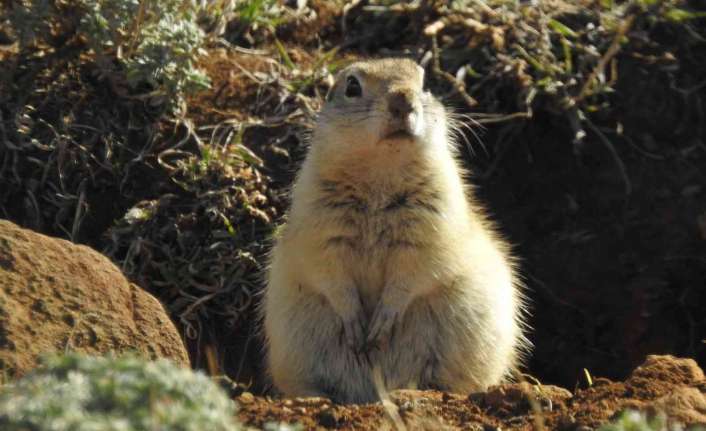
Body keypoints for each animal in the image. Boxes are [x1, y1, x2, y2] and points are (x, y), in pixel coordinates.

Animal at [262, 57, 524, 404]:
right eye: (352, 86)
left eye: (426, 84)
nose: (403, 100)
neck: (382, 169)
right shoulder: (319, 225)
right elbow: (331, 275)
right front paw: (356, 327)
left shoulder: (432, 226)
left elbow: (411, 275)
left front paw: (380, 325)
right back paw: (315, 397)